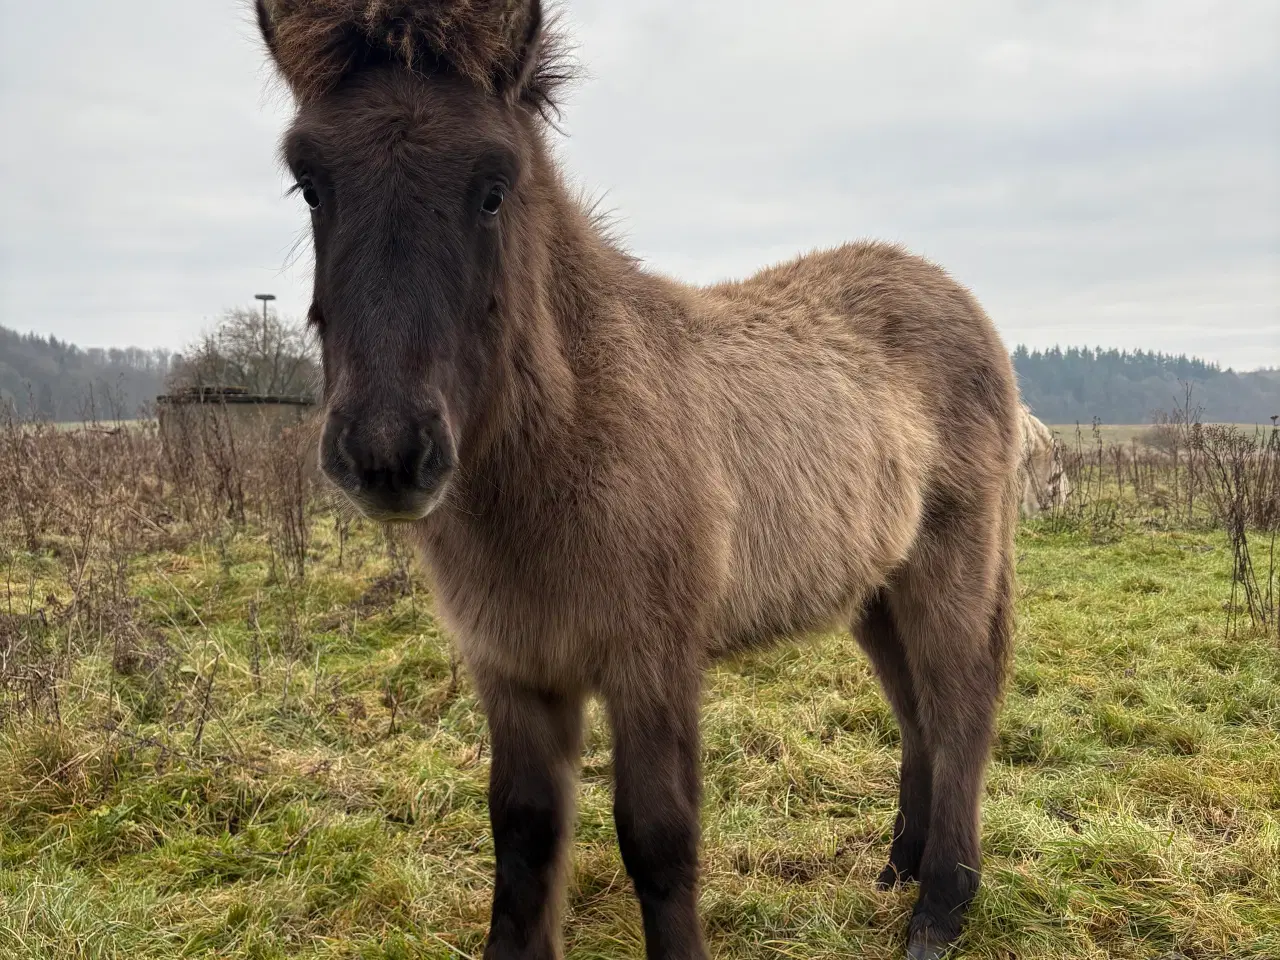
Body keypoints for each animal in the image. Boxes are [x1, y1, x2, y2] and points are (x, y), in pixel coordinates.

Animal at [257, 3, 1018, 957]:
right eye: (311, 185)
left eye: (493, 187)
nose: (387, 452)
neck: (570, 443)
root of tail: (955, 295)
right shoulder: (514, 667)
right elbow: (523, 830)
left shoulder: (650, 662)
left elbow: (657, 837)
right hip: (876, 585)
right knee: (915, 709)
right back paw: (900, 868)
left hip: (952, 563)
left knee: (960, 708)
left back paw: (941, 904)